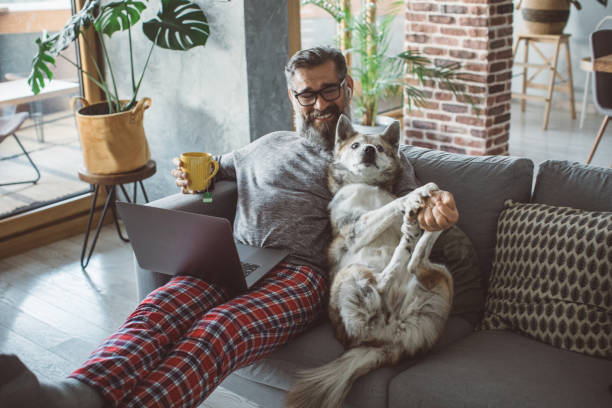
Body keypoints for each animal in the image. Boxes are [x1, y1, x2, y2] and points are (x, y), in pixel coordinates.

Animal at [284, 115, 452, 408]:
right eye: (356, 145)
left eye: (381, 148)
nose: (369, 150)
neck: (367, 185)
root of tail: (386, 341)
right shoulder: (356, 227)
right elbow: (390, 206)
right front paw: (415, 196)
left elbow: (391, 208)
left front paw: (418, 212)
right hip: (352, 275)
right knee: (388, 276)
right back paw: (410, 235)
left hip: (441, 281)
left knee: (414, 264)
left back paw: (422, 231)